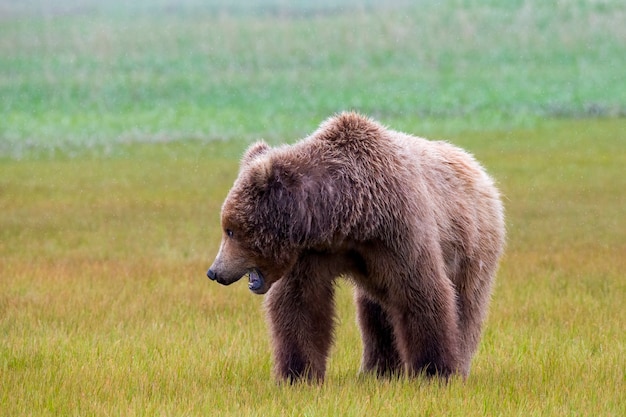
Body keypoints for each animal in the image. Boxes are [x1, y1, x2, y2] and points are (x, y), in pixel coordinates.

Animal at [207, 112, 504, 382]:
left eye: (230, 229)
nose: (214, 271)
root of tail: (479, 171)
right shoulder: (312, 252)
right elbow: (300, 303)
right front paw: (297, 374)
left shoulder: (400, 230)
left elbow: (422, 291)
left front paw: (434, 371)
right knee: (376, 313)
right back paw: (379, 370)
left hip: (472, 246)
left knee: (466, 306)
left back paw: (457, 365)